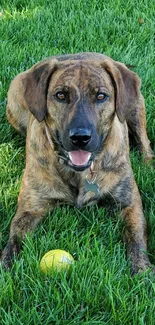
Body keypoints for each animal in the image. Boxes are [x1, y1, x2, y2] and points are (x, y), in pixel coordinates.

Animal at [1, 52, 154, 272]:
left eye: (101, 96)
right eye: (60, 95)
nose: (80, 137)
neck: (79, 172)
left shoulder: (128, 202)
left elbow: (136, 237)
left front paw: (141, 270)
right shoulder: (30, 208)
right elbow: (15, 236)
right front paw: (6, 266)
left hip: (134, 108)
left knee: (145, 142)